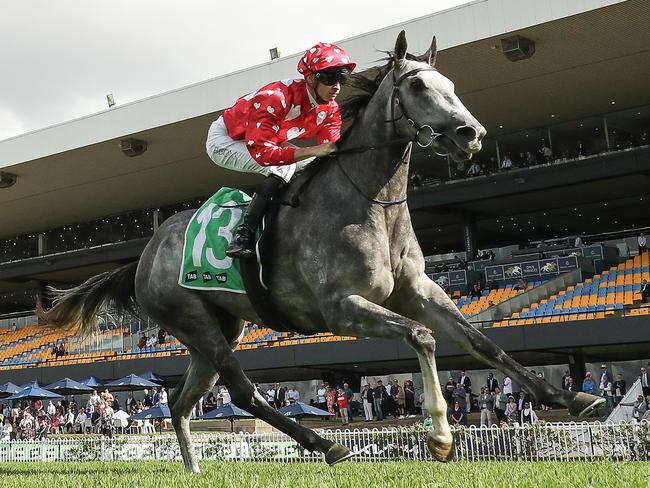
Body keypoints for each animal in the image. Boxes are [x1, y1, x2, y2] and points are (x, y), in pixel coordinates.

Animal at [44, 31, 604, 472]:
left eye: (451, 86)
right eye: (418, 86)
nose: (472, 133)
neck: (369, 201)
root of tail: (144, 254)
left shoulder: (417, 290)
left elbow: (482, 342)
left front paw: (573, 396)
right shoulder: (340, 307)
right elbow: (422, 337)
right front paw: (441, 436)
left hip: (218, 328)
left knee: (183, 403)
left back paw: (195, 466)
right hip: (193, 319)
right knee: (242, 391)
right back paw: (325, 444)